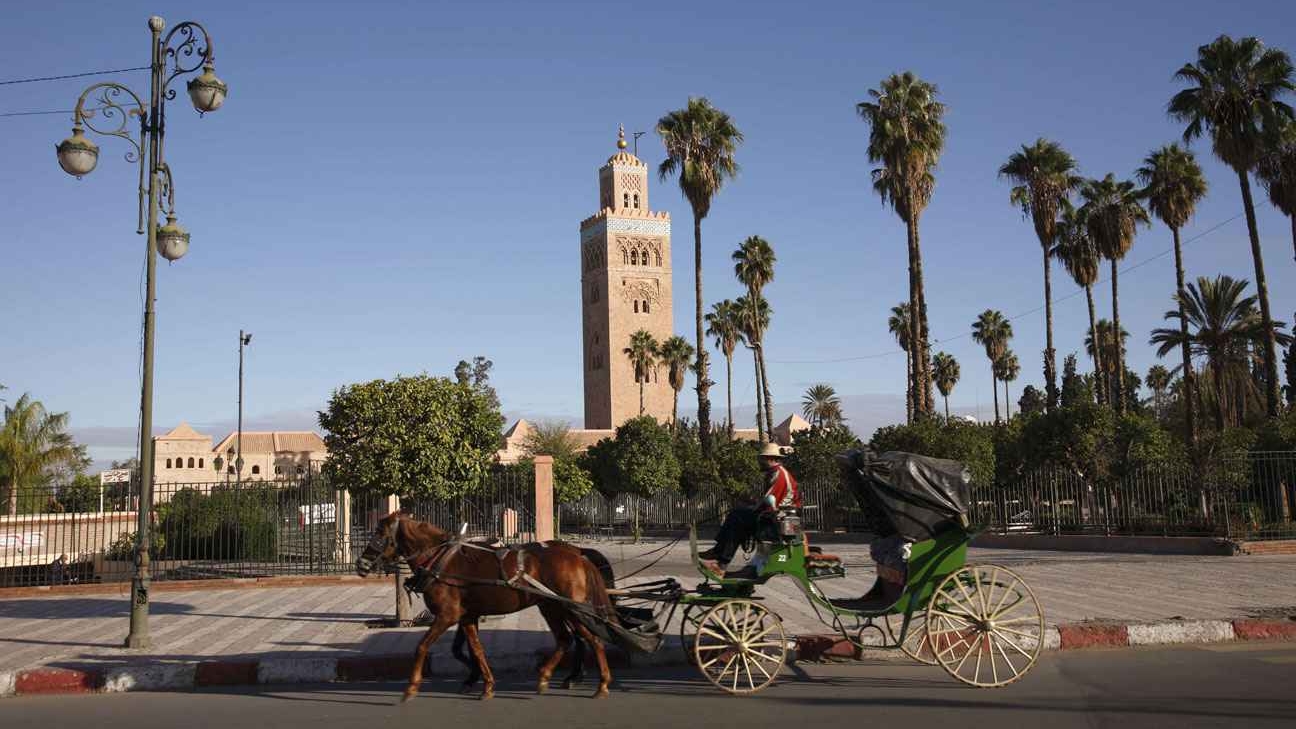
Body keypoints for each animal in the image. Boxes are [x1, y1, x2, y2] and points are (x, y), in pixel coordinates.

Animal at [355, 511, 616, 700]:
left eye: (379, 534)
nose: (360, 564)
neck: (438, 560)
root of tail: (578, 556)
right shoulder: (467, 616)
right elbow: (476, 649)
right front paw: (485, 683)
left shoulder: (447, 616)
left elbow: (422, 646)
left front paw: (411, 687)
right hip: (552, 607)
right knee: (566, 639)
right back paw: (548, 677)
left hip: (572, 609)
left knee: (593, 639)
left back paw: (600, 684)